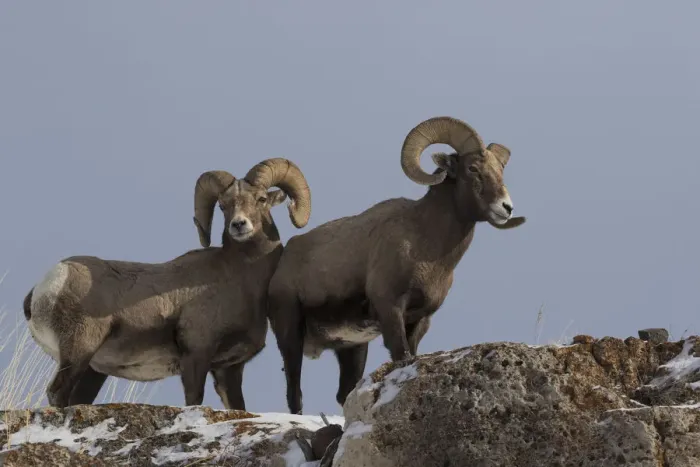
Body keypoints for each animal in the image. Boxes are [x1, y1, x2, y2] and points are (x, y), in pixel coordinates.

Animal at [23, 157, 311, 410]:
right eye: (223, 205)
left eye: (261, 199)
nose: (239, 225)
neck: (242, 280)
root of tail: (44, 287)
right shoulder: (196, 356)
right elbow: (194, 399)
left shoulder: (228, 368)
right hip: (78, 353)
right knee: (57, 393)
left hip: (92, 371)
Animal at [267, 116, 526, 414]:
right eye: (472, 168)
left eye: (500, 169)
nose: (506, 207)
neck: (426, 246)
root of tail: (284, 259)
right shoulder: (391, 310)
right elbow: (400, 355)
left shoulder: (420, 321)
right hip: (290, 338)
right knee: (294, 394)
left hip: (351, 348)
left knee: (344, 392)